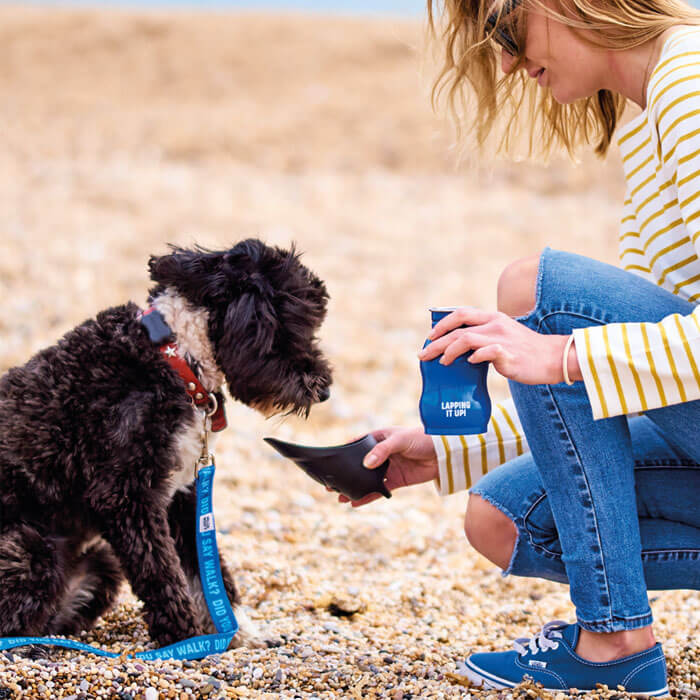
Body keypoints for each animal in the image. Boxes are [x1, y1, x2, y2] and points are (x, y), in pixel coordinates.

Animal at [0, 241, 332, 652]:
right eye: (300, 326)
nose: (324, 389)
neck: (175, 358)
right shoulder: (127, 498)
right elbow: (162, 575)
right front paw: (186, 642)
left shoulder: (183, 495)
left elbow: (206, 571)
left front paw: (239, 631)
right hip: (30, 548)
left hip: (100, 564)